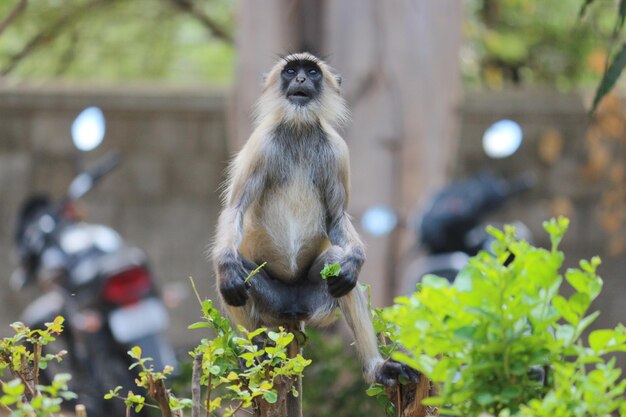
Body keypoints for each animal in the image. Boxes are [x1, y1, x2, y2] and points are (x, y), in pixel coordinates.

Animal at [212, 52, 416, 386]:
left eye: (311, 71)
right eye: (291, 71)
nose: (300, 80)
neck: (299, 130)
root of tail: (292, 309)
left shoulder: (337, 151)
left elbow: (336, 220)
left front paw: (356, 259)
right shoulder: (261, 143)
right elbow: (235, 210)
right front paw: (228, 266)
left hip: (314, 302)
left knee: (339, 268)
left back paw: (376, 366)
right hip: (272, 304)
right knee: (234, 281)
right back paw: (252, 352)